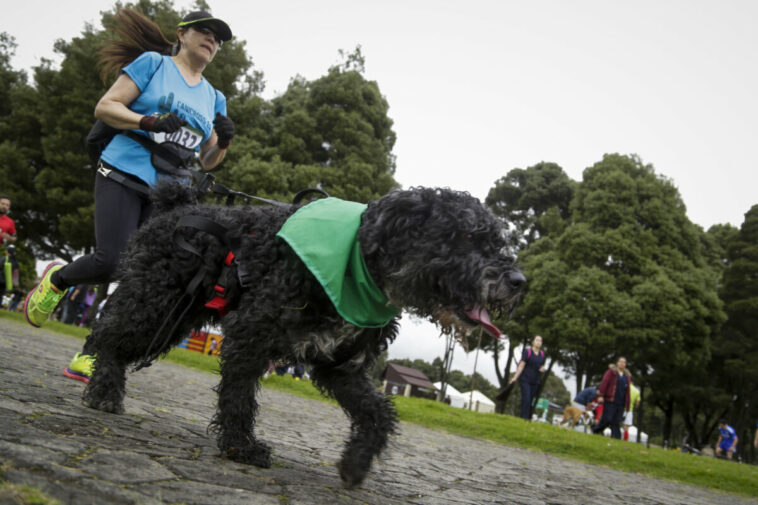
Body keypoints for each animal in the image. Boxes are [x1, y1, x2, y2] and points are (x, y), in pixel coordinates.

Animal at [80, 180, 524, 484]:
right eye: (467, 236)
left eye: (497, 239)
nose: (519, 281)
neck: (360, 265)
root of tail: (177, 205)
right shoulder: (250, 336)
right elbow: (238, 397)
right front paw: (242, 447)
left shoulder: (341, 365)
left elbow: (377, 412)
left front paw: (357, 461)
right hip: (155, 304)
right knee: (107, 335)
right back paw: (103, 390)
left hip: (177, 316)